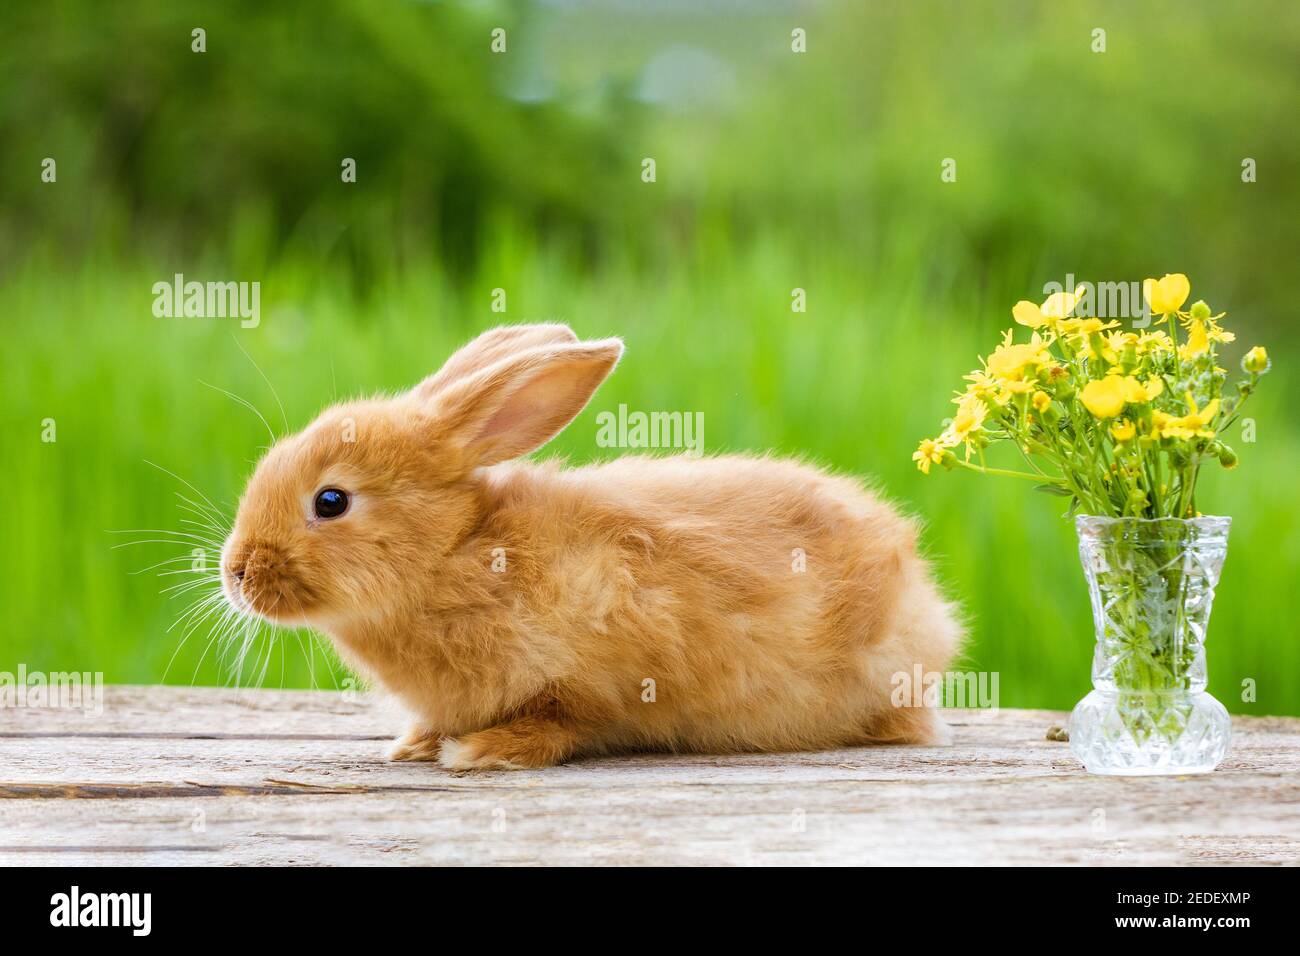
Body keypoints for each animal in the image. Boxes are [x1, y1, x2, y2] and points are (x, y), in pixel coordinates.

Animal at [220, 323, 962, 769]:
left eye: (331, 501)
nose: (236, 573)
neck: (453, 553)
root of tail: (923, 601)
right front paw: (415, 745)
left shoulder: (598, 666)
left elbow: (562, 721)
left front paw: (482, 752)